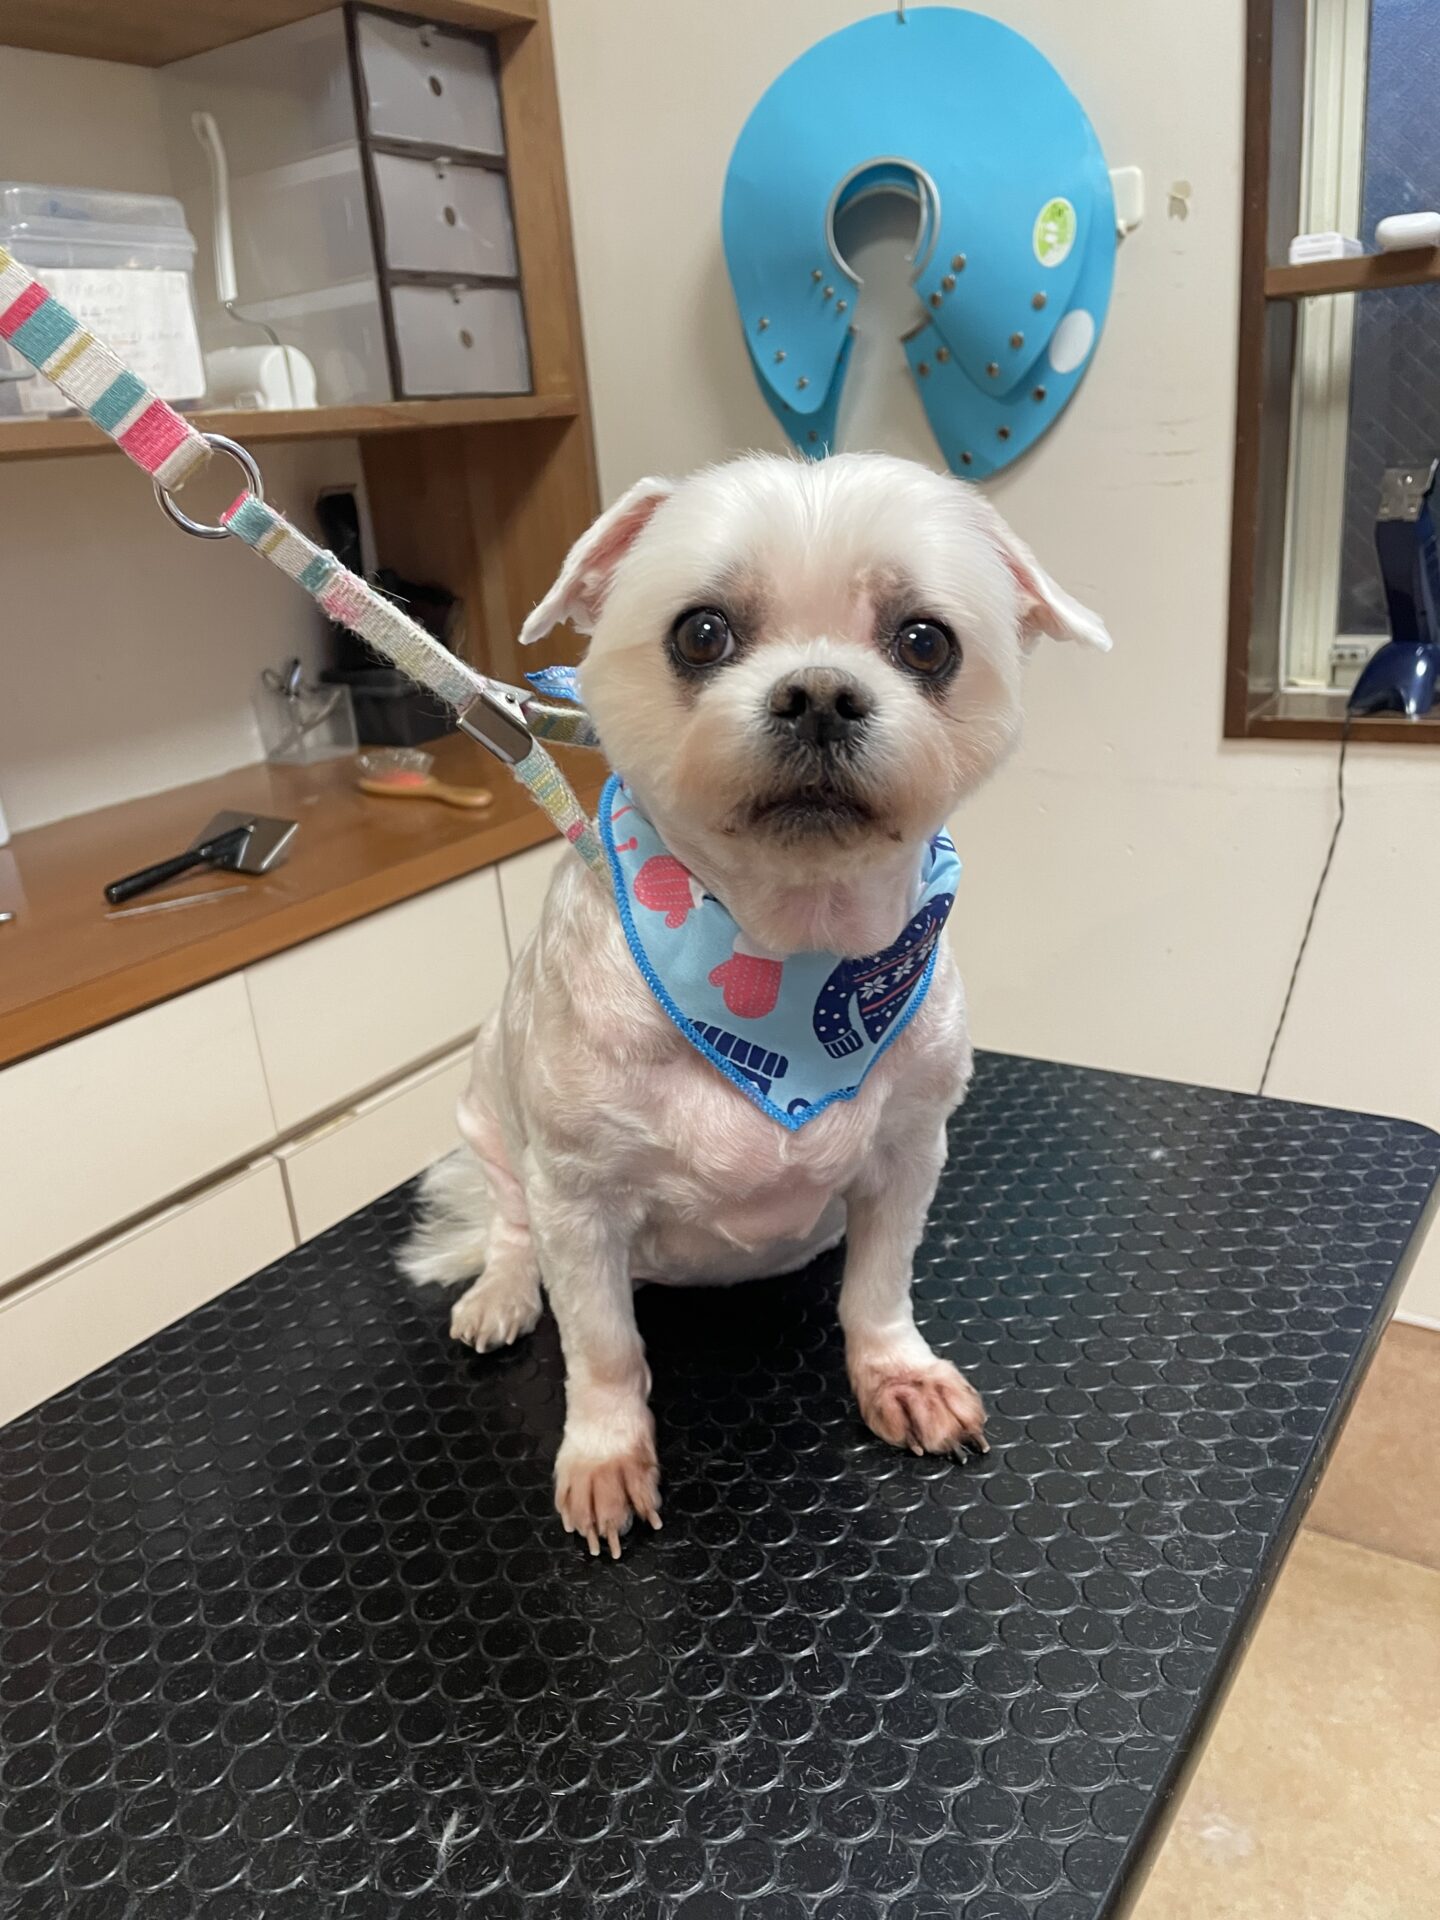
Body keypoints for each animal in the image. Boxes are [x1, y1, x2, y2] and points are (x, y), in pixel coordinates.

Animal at [403, 451, 1109, 1555]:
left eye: (925, 641)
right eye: (702, 632)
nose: (820, 693)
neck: (787, 952)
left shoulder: (909, 1153)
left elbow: (878, 1289)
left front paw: (897, 1376)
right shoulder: (579, 1199)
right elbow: (603, 1347)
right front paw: (604, 1455)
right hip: (488, 1108)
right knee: (510, 1222)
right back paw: (503, 1293)